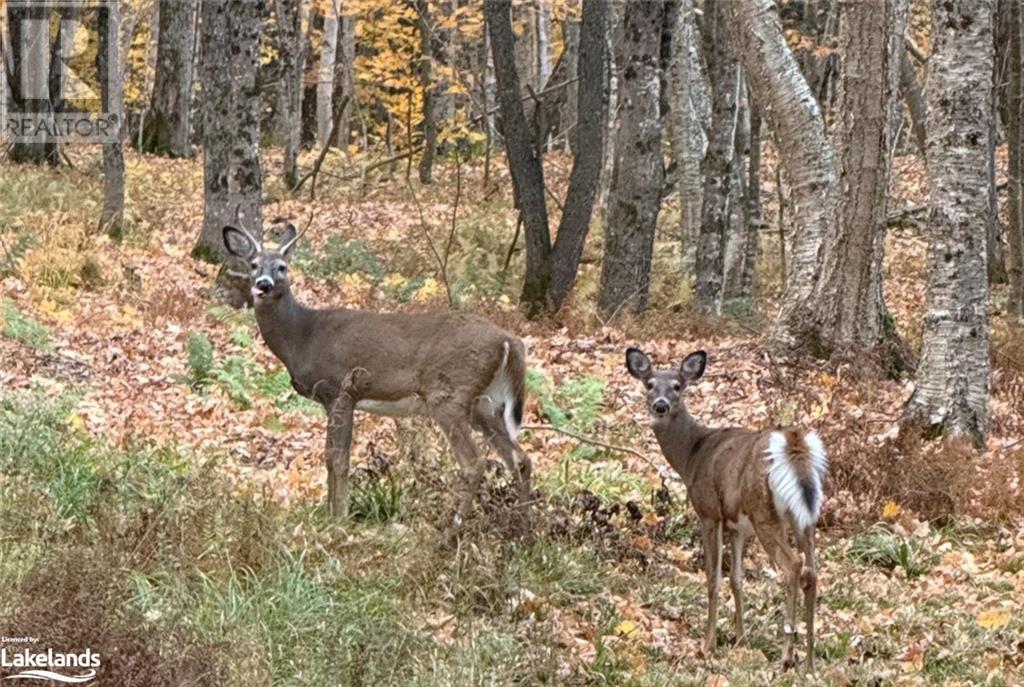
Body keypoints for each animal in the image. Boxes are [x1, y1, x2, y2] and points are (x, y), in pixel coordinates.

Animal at [221, 218, 532, 524]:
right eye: (253, 264)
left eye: (282, 267)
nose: (263, 284)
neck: (302, 336)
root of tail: (508, 340)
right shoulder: (330, 399)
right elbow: (328, 457)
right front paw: (328, 514)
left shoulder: (341, 389)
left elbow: (338, 459)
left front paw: (339, 519)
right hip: (485, 403)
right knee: (519, 458)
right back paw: (526, 523)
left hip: (449, 394)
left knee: (474, 462)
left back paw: (453, 528)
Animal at [618, 346, 827, 667]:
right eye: (649, 384)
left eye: (678, 386)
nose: (661, 406)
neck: (692, 455)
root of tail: (793, 444)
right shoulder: (738, 526)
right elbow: (737, 579)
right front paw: (741, 640)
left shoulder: (709, 512)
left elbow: (713, 578)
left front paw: (708, 645)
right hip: (804, 517)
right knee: (812, 571)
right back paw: (810, 659)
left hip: (764, 512)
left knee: (792, 566)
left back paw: (787, 656)